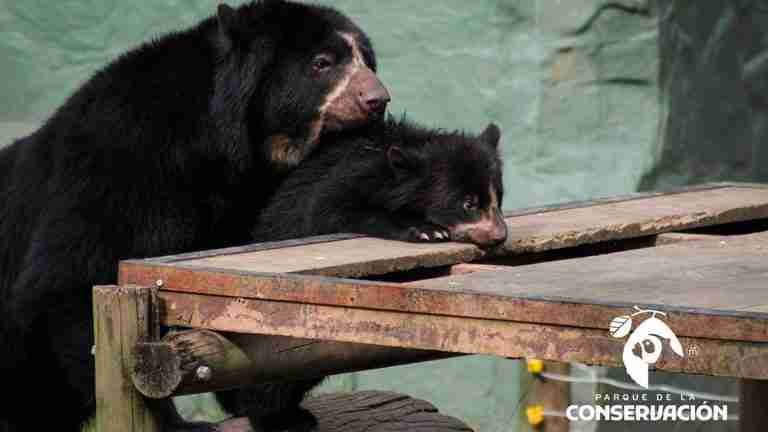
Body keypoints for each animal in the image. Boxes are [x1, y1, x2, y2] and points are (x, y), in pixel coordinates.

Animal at [0, 1, 388, 431]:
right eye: (322, 63)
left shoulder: (247, 199)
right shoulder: (121, 161)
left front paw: (281, 410)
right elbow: (72, 280)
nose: (377, 100)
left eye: (367, 60)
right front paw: (179, 422)